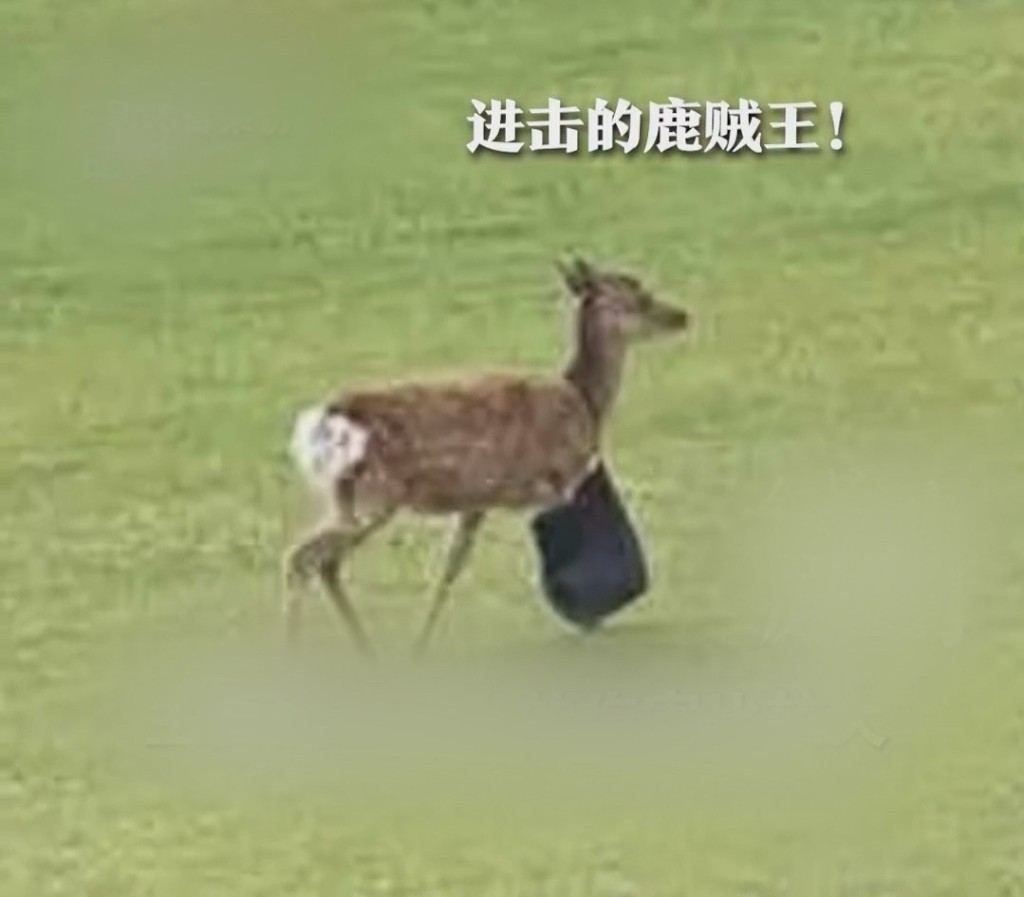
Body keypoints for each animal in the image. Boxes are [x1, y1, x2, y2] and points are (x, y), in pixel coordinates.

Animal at [282, 258, 690, 655]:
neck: (586, 402)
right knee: (302, 558)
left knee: (325, 564)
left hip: (348, 499)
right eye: (637, 294)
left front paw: (421, 641)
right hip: (373, 497)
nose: (681, 315)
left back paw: (363, 647)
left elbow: (450, 567)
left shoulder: (477, 500)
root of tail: (323, 424)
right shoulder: (549, 483)